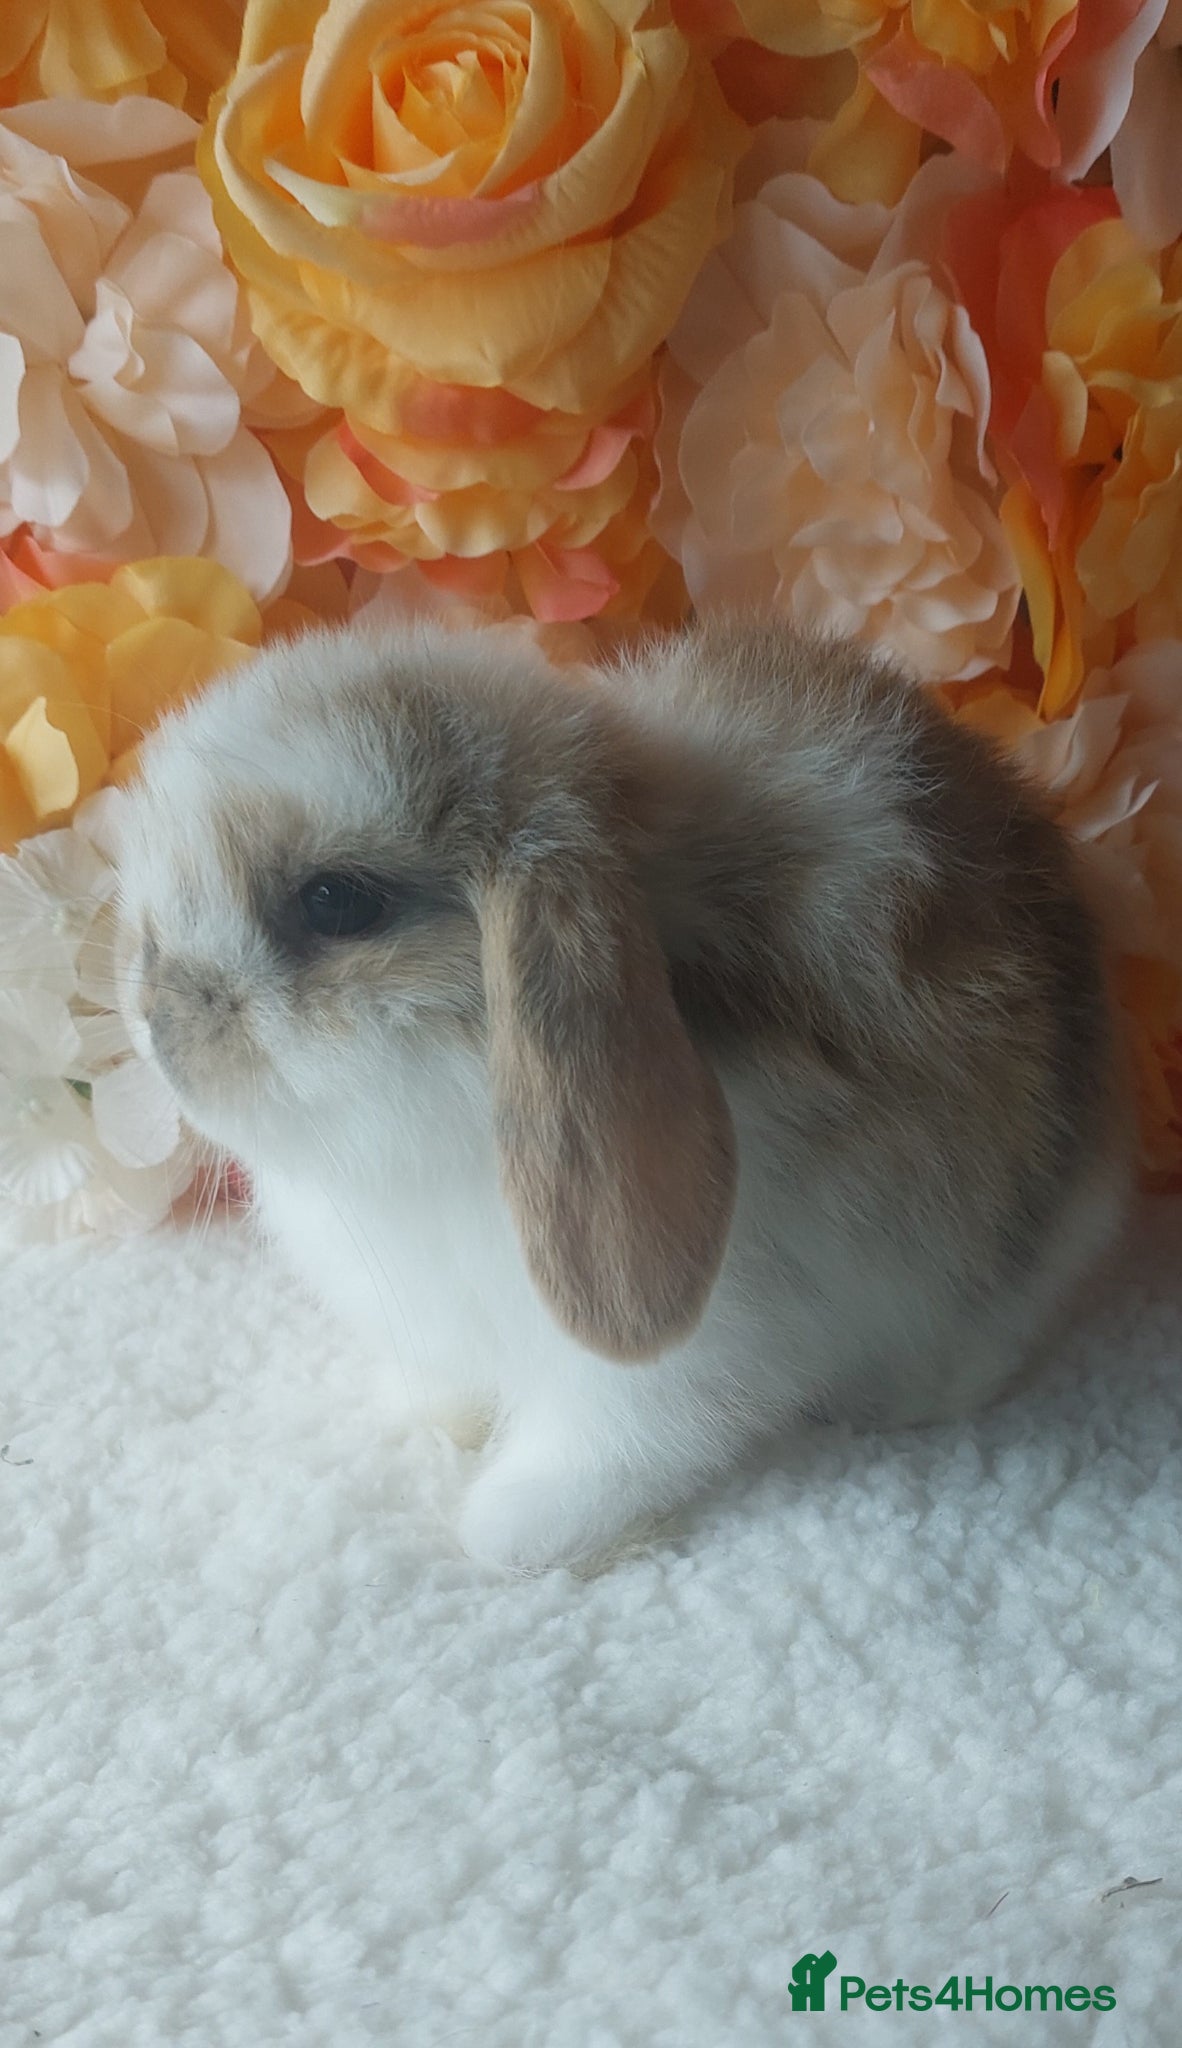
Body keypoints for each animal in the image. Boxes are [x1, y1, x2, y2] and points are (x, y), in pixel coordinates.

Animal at [116, 616, 1131, 1571]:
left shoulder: (682, 1351)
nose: (156, 1013)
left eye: (336, 902)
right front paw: (433, 1416)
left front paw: (514, 1528)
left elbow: (615, 1443)